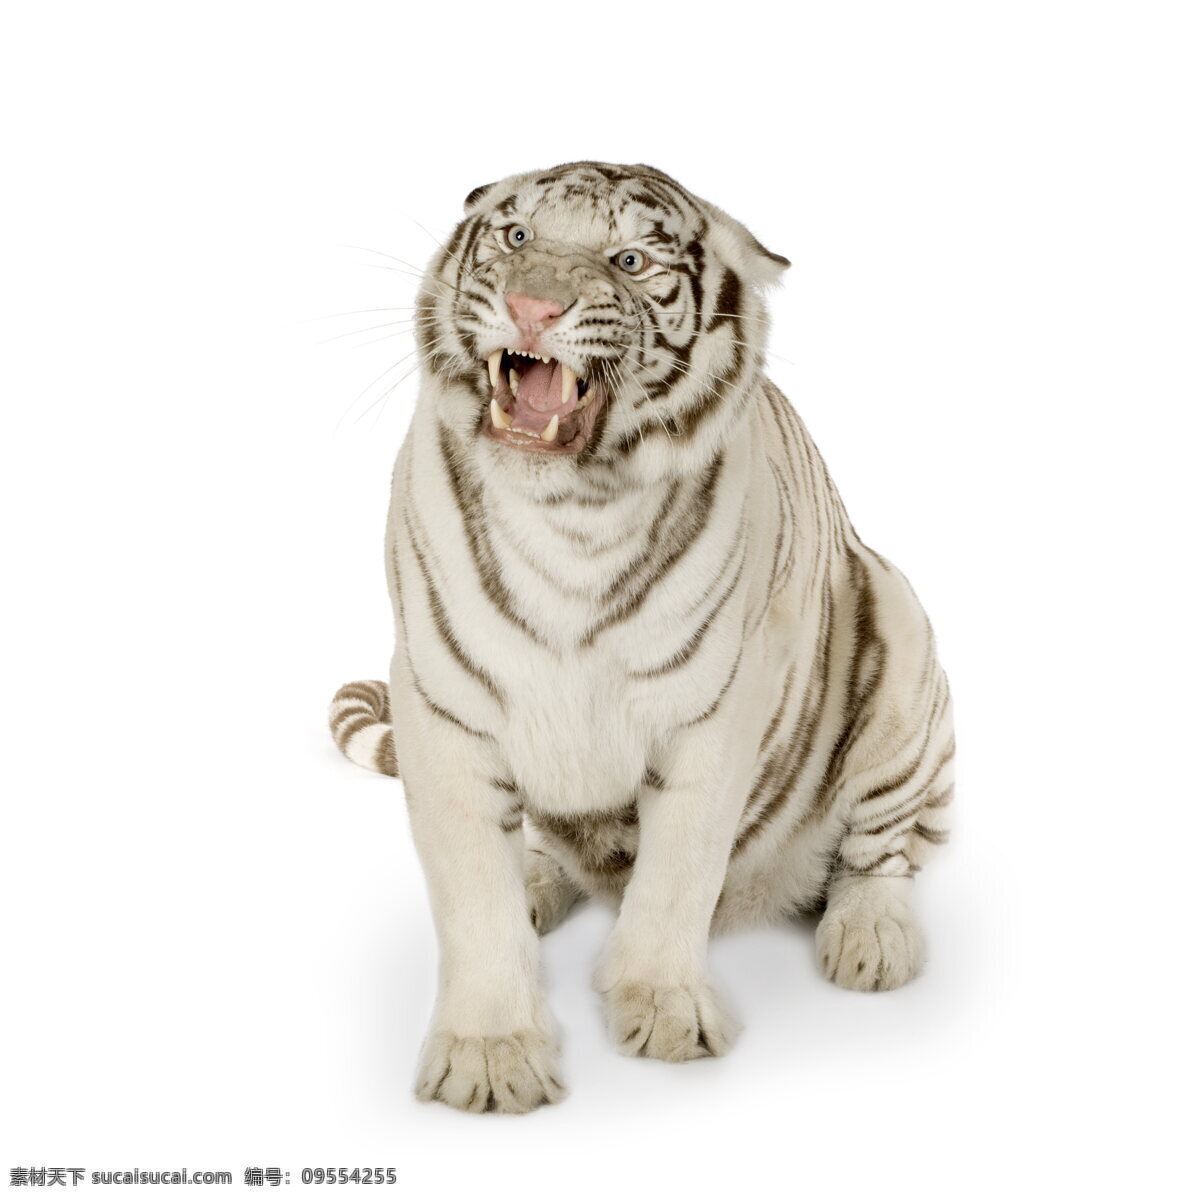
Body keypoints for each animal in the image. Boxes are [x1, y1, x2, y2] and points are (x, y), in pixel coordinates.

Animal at [328, 161, 954, 1114]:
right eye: (517, 236)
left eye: (628, 260)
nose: (532, 307)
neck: (569, 512)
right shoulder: (443, 708)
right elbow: (473, 898)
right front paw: (490, 1058)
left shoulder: (715, 710)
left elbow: (678, 875)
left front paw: (662, 1009)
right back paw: (538, 883)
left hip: (902, 637)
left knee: (879, 852)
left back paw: (870, 941)